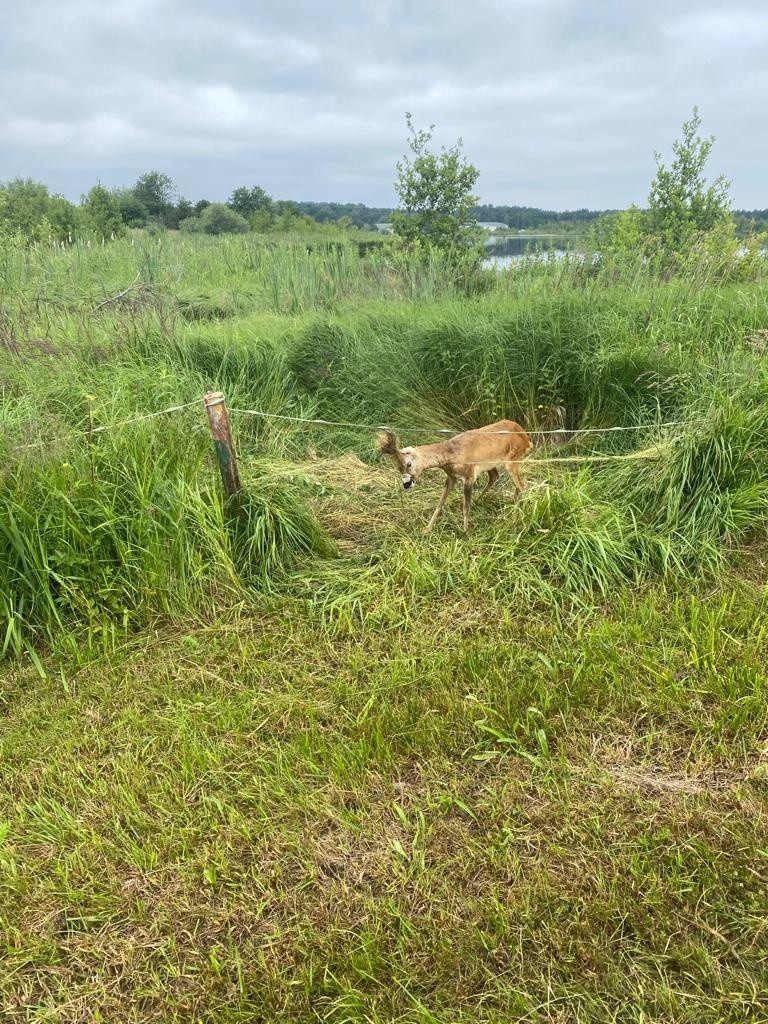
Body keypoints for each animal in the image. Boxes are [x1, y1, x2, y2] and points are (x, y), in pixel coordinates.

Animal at [376, 419, 532, 532]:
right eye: (398, 468)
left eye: (408, 464)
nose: (406, 484)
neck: (450, 454)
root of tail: (525, 436)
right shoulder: (451, 477)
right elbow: (440, 502)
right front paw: (426, 529)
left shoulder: (469, 476)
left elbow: (465, 507)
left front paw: (465, 532)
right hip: (492, 465)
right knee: (496, 477)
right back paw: (484, 502)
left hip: (512, 460)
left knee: (521, 485)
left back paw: (514, 516)